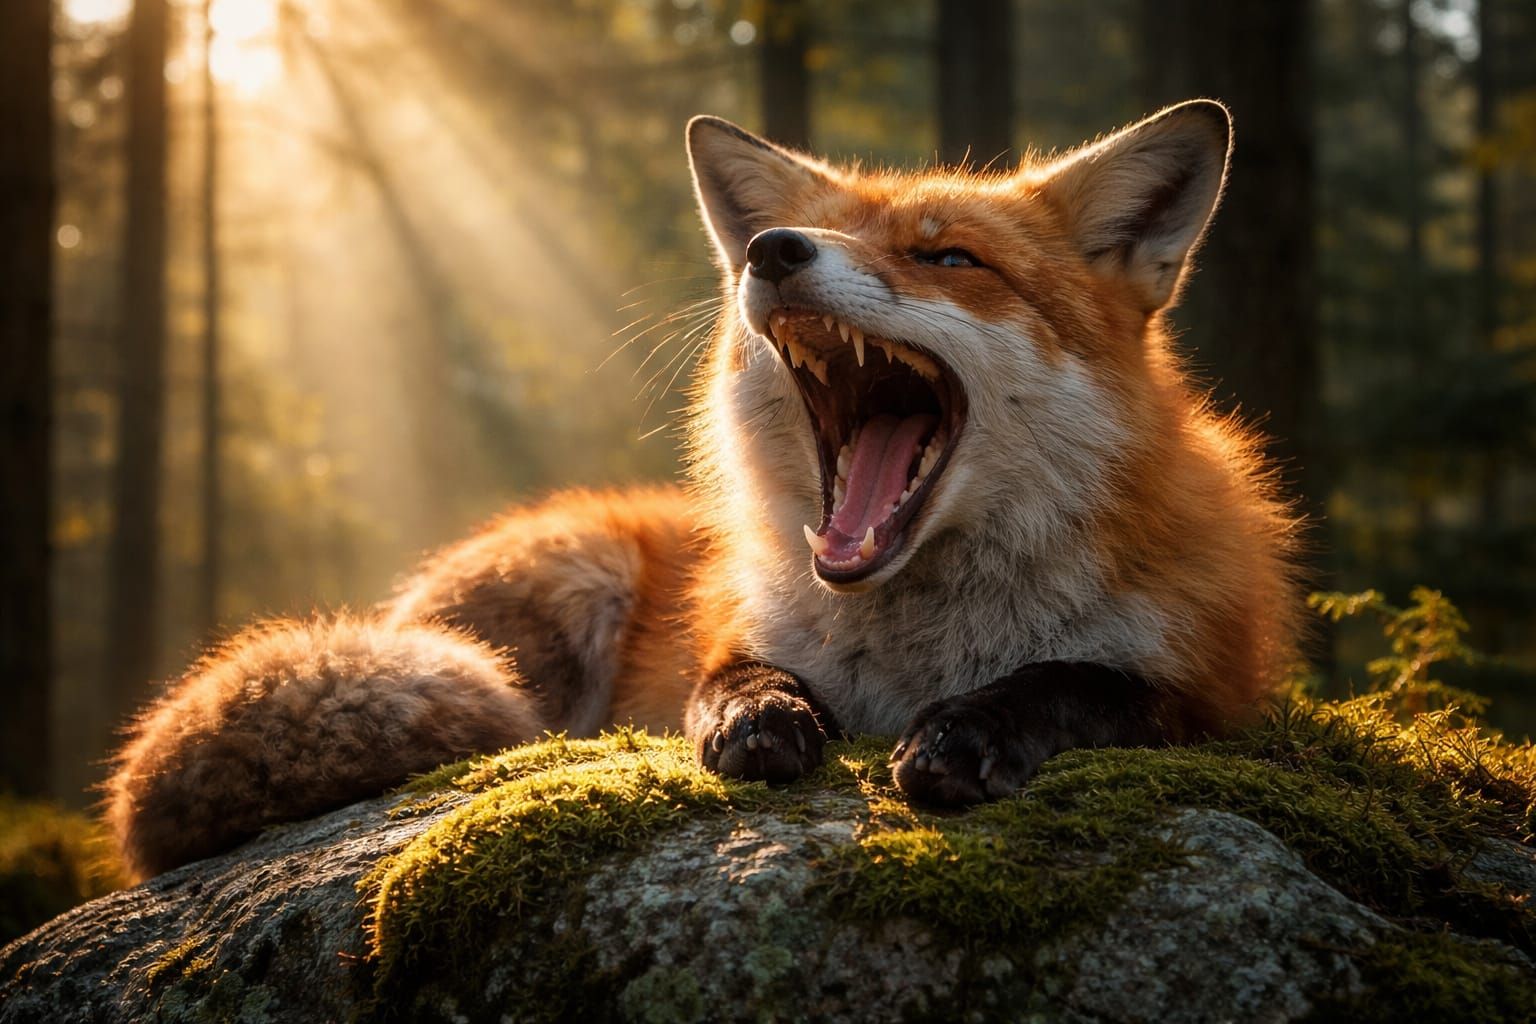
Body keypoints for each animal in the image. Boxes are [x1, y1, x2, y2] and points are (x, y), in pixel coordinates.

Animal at [106, 99, 1300, 881]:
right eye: (809, 236)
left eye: (949, 258)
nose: (771, 248)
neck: (919, 648)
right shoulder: (733, 624)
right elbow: (728, 678)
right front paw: (759, 714)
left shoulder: (1217, 687)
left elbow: (1078, 682)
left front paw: (974, 728)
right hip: (570, 589)